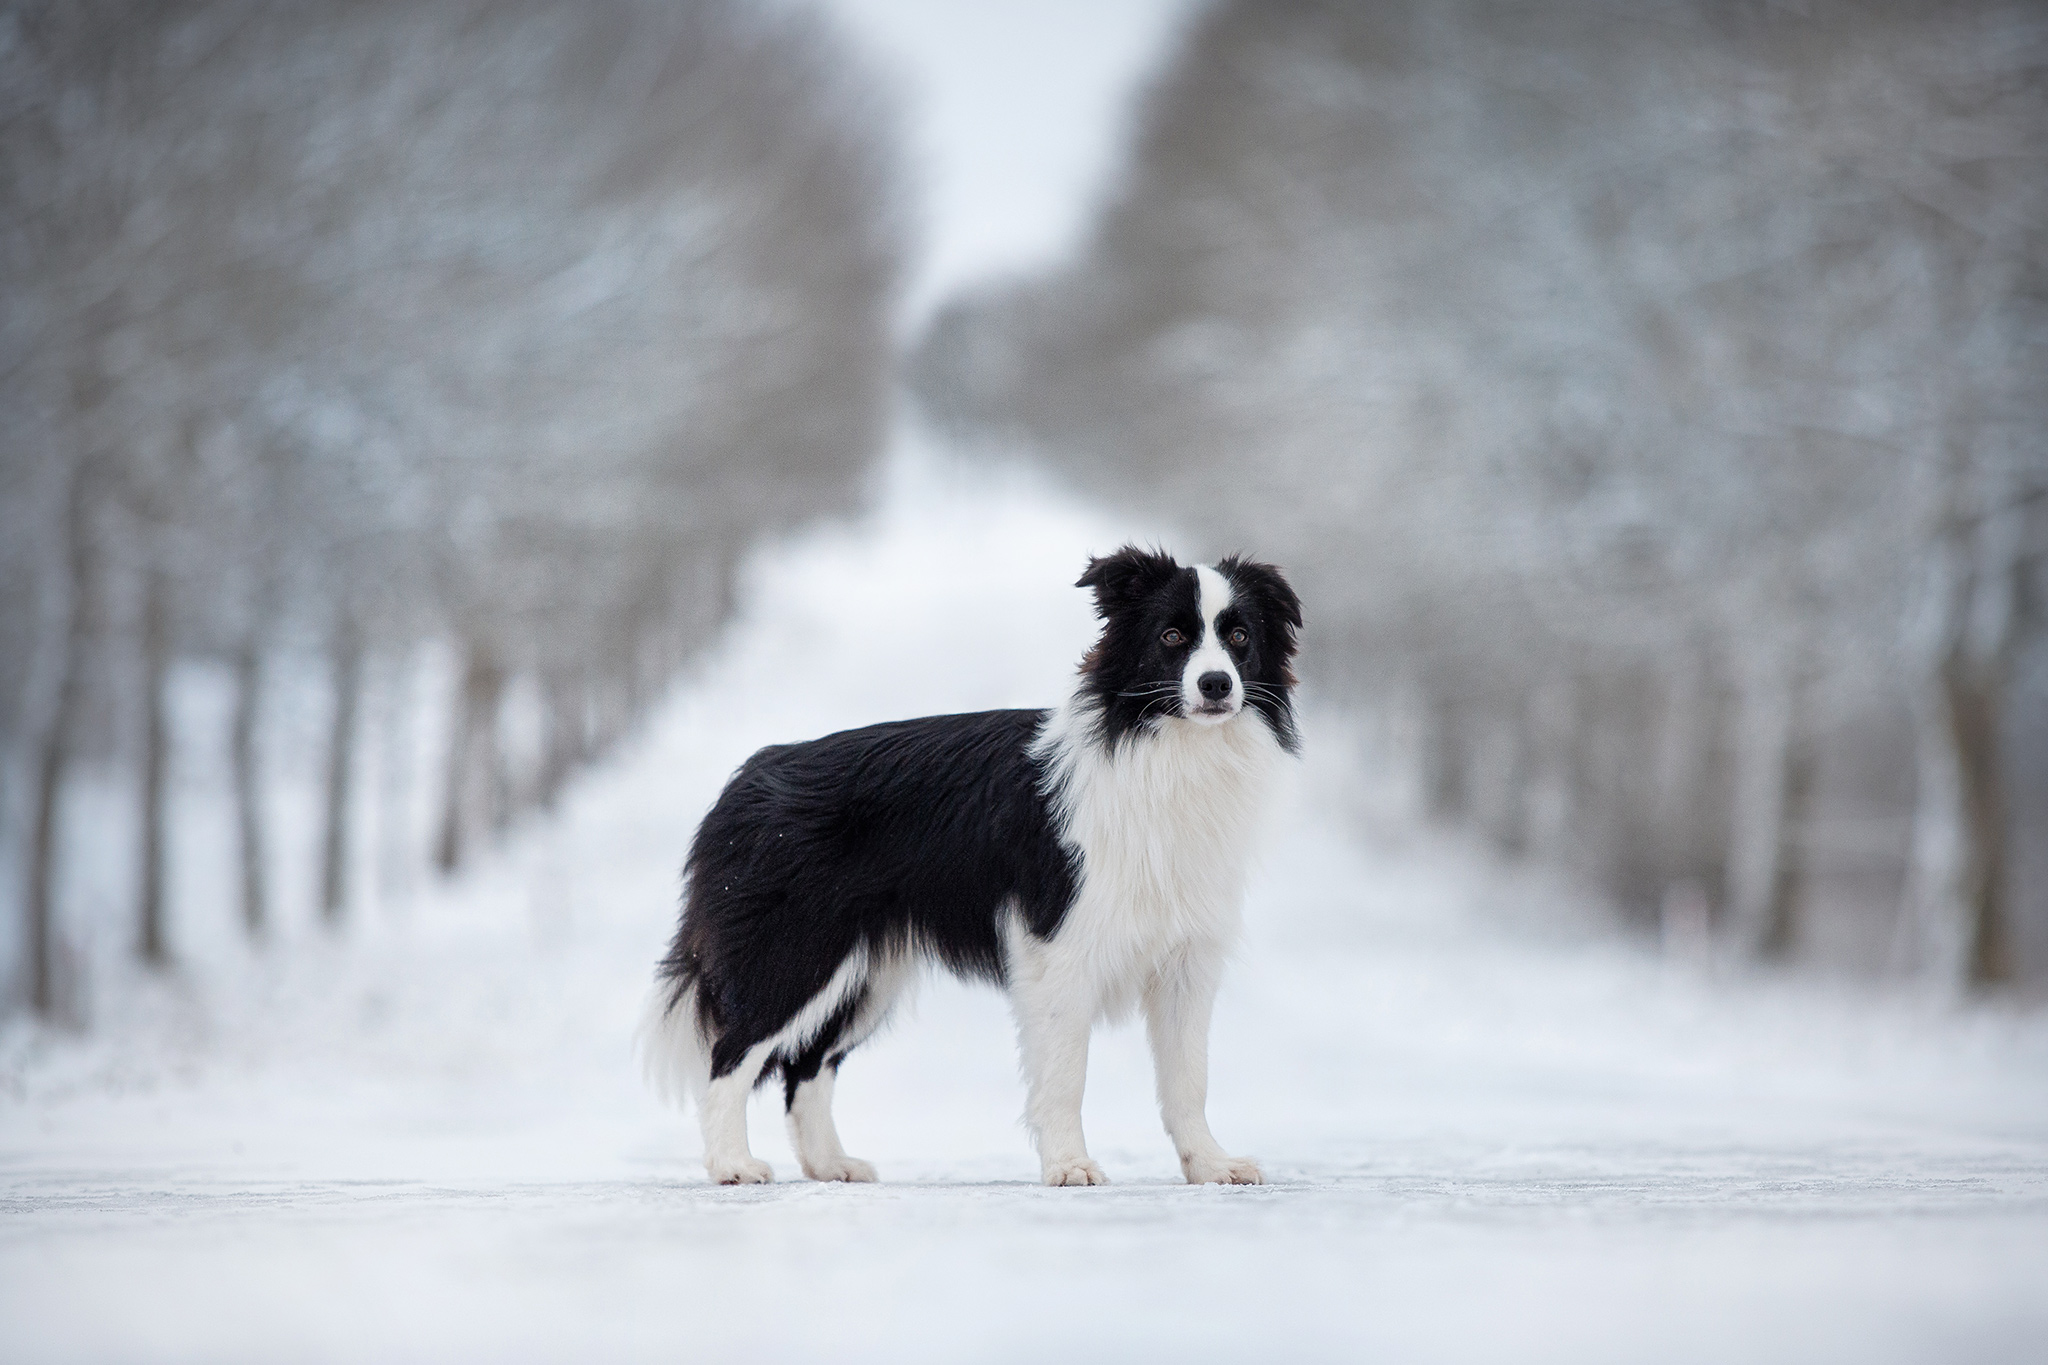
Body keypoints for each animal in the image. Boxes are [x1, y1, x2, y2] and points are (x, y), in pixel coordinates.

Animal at [647, 544, 1302, 1186]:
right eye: (1171, 636)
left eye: (1239, 635)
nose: (1216, 684)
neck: (1167, 749)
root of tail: (747, 779)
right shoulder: (1060, 949)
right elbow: (1065, 1074)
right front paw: (1070, 1167)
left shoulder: (1187, 959)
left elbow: (1189, 1078)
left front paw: (1213, 1166)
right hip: (793, 953)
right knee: (731, 1055)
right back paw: (733, 1166)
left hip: (865, 973)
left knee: (808, 1065)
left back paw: (831, 1166)